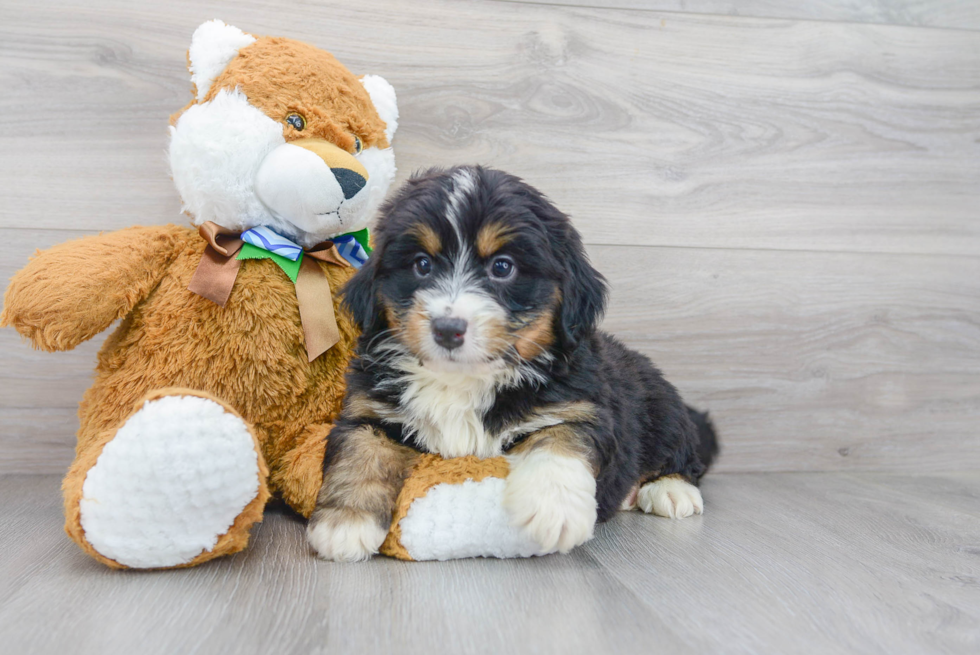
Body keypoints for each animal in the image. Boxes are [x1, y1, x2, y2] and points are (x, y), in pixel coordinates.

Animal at [306, 167, 720, 560]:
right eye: (422, 264)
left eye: (502, 267)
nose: (447, 329)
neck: (464, 380)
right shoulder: (369, 409)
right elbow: (360, 451)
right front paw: (345, 523)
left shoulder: (580, 407)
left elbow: (560, 440)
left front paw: (554, 510)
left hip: (662, 408)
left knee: (685, 456)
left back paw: (670, 491)